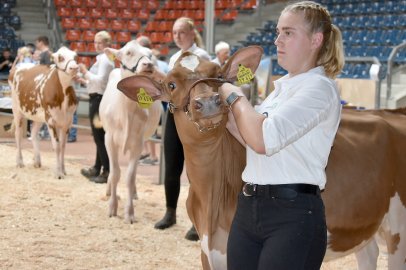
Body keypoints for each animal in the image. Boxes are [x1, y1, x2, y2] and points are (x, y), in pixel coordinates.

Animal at [9, 47, 79, 179]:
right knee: (18, 135)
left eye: (75, 56)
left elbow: (63, 146)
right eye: (60, 57)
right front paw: (58, 173)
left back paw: (37, 161)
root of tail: (19, 66)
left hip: (38, 116)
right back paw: (19, 162)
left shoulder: (68, 121)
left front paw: (63, 170)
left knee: (34, 133)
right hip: (17, 110)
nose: (74, 67)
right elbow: (56, 146)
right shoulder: (51, 120)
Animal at [99, 40, 164, 224]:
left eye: (149, 54)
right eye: (128, 52)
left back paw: (133, 193)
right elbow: (115, 173)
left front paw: (129, 213)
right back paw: (109, 190)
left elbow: (130, 176)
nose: (148, 64)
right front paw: (112, 207)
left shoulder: (138, 143)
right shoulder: (109, 139)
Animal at [117, 47, 406, 268]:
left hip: (399, 230)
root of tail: (390, 111)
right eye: (171, 84)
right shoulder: (207, 250)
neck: (211, 195)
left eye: (218, 74)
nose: (208, 102)